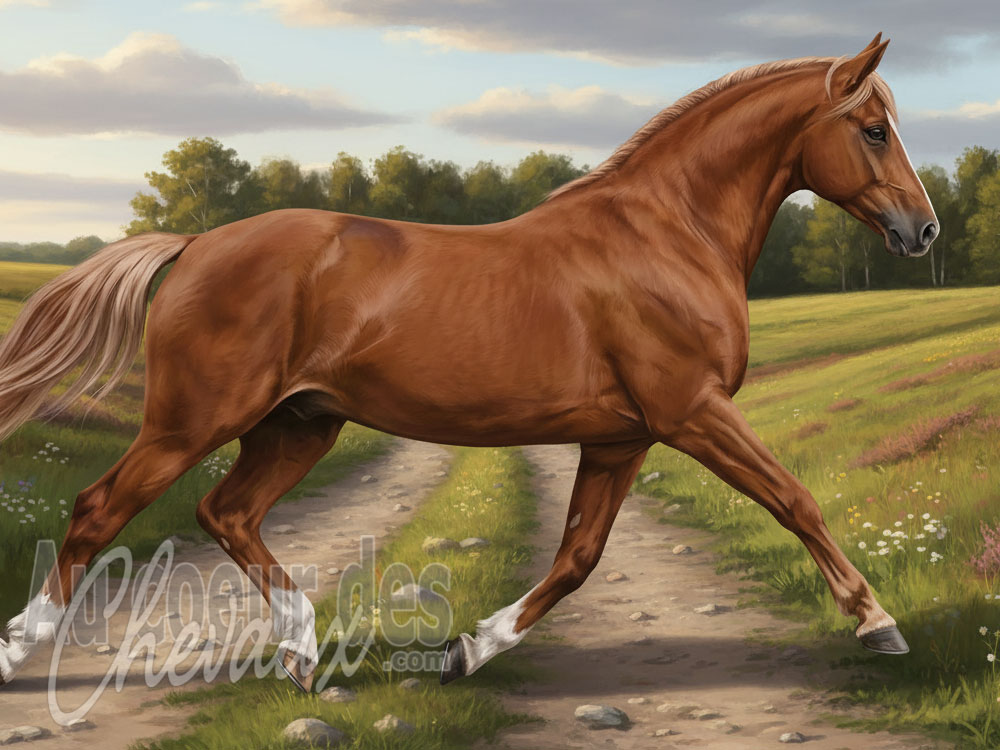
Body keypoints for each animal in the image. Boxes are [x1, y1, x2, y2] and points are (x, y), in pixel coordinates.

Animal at [0, 34, 937, 691]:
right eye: (873, 130)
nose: (921, 231)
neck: (667, 234)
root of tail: (195, 243)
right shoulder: (693, 412)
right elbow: (795, 500)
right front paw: (879, 623)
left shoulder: (622, 438)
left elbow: (578, 556)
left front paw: (467, 651)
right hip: (194, 420)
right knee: (100, 509)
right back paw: (20, 649)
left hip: (299, 424)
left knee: (225, 513)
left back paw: (302, 651)